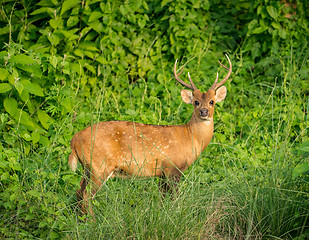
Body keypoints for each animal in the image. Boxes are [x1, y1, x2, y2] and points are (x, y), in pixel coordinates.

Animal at [67, 54, 231, 216]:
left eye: (212, 101)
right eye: (196, 102)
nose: (204, 111)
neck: (190, 137)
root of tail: (74, 140)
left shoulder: (162, 173)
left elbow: (162, 198)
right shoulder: (173, 167)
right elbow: (174, 199)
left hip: (88, 167)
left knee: (79, 190)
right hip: (99, 165)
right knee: (86, 195)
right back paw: (92, 220)